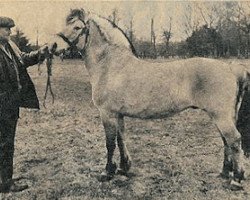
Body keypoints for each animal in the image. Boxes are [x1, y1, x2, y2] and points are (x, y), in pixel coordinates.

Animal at [51, 8, 249, 186]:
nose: (53, 46)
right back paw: (225, 173)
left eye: (77, 27)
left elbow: (110, 143)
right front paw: (123, 167)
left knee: (234, 140)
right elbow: (121, 139)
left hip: (221, 116)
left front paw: (107, 172)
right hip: (223, 116)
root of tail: (231, 68)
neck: (111, 65)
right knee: (226, 141)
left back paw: (237, 179)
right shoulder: (118, 114)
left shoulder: (107, 113)